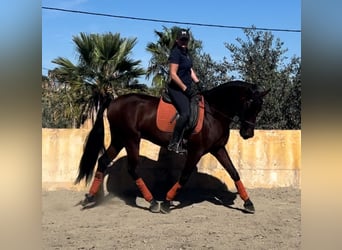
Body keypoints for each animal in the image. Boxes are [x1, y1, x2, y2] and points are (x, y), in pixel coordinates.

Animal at [75, 80, 270, 213]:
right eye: (248, 104)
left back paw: (89, 197)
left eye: (259, 107)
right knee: (132, 168)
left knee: (103, 161)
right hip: (131, 139)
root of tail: (114, 101)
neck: (213, 113)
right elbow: (184, 176)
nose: (247, 134)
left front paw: (248, 203)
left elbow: (234, 172)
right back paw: (152, 202)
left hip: (120, 139)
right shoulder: (196, 151)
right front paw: (167, 202)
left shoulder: (218, 149)